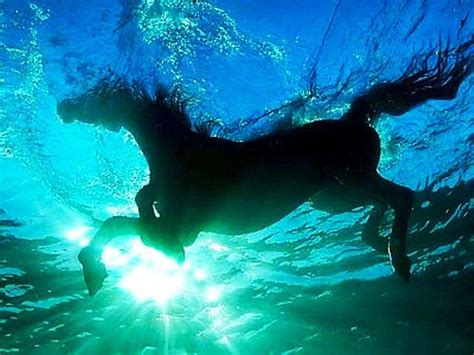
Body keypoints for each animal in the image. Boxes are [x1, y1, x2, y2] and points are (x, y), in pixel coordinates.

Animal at [57, 44, 472, 296]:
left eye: (98, 95)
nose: (63, 108)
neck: (181, 155)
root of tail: (354, 119)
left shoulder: (181, 226)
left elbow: (134, 219)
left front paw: (164, 256)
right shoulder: (177, 224)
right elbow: (119, 221)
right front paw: (94, 272)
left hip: (350, 179)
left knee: (402, 196)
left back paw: (399, 259)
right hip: (333, 196)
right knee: (384, 201)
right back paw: (376, 241)